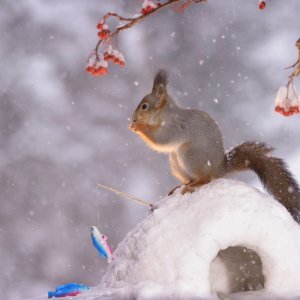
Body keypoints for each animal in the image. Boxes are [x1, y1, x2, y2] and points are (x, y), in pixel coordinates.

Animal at [130, 69, 300, 221]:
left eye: (144, 106)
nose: (133, 118)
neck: (164, 115)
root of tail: (219, 169)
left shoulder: (175, 127)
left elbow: (161, 140)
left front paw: (138, 127)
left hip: (190, 157)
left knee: (206, 178)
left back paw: (193, 185)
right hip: (176, 164)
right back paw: (180, 187)